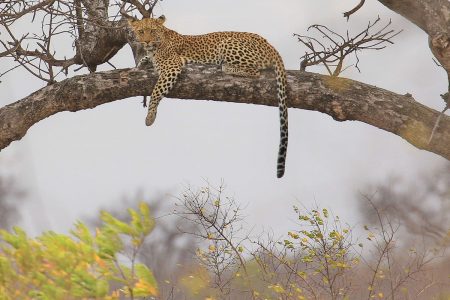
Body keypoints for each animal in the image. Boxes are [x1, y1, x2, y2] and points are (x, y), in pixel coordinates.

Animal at [128, 15, 290, 178]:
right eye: (141, 32)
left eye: (152, 31)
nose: (146, 41)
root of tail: (269, 45)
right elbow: (145, 61)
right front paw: (140, 64)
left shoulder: (171, 66)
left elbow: (156, 91)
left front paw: (150, 116)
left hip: (227, 44)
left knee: (254, 71)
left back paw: (226, 66)